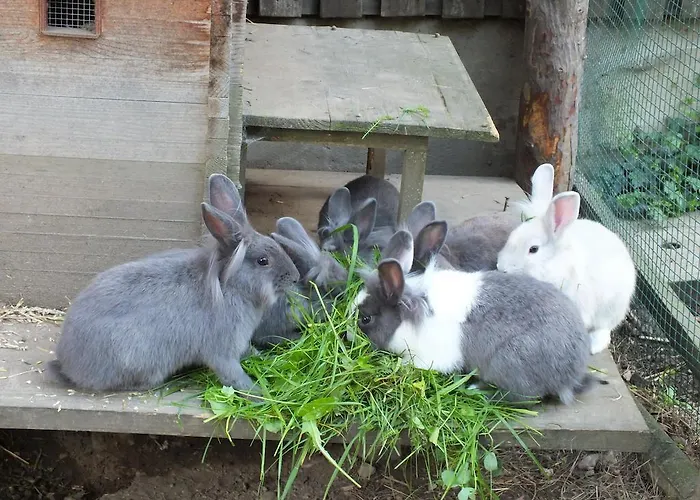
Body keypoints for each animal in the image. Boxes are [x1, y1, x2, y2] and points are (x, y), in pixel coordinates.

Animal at [47, 173, 300, 395]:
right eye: (263, 261)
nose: (295, 276)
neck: (230, 287)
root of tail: (69, 365)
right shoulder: (223, 351)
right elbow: (233, 375)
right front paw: (259, 393)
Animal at [351, 224, 601, 405]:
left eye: (366, 319)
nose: (347, 336)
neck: (409, 314)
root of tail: (571, 374)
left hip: (509, 364)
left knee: (523, 399)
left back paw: (477, 389)